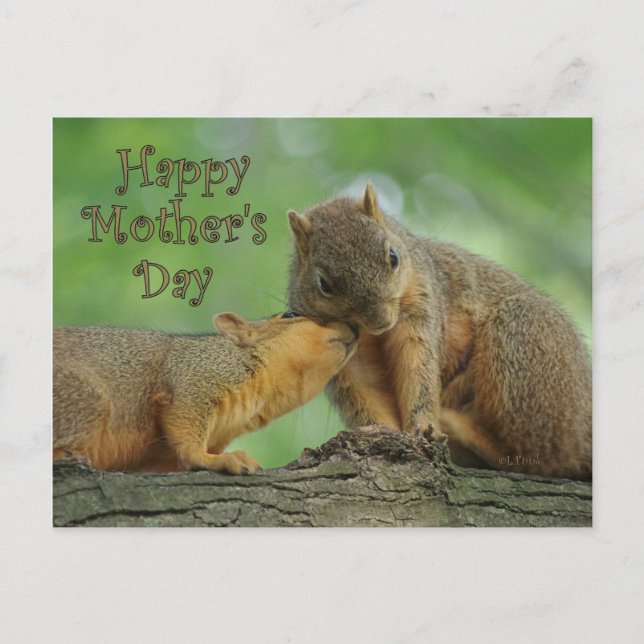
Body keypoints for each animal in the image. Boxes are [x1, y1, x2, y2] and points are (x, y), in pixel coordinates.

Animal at [53, 312, 357, 474]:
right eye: (290, 315)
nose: (353, 326)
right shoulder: (194, 377)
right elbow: (185, 430)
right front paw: (217, 460)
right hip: (86, 399)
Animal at [287, 184, 592, 480]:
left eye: (393, 257)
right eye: (323, 284)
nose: (380, 320)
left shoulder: (422, 305)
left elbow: (418, 366)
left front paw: (423, 426)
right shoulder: (341, 350)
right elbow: (364, 388)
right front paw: (383, 433)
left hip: (524, 334)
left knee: (545, 458)